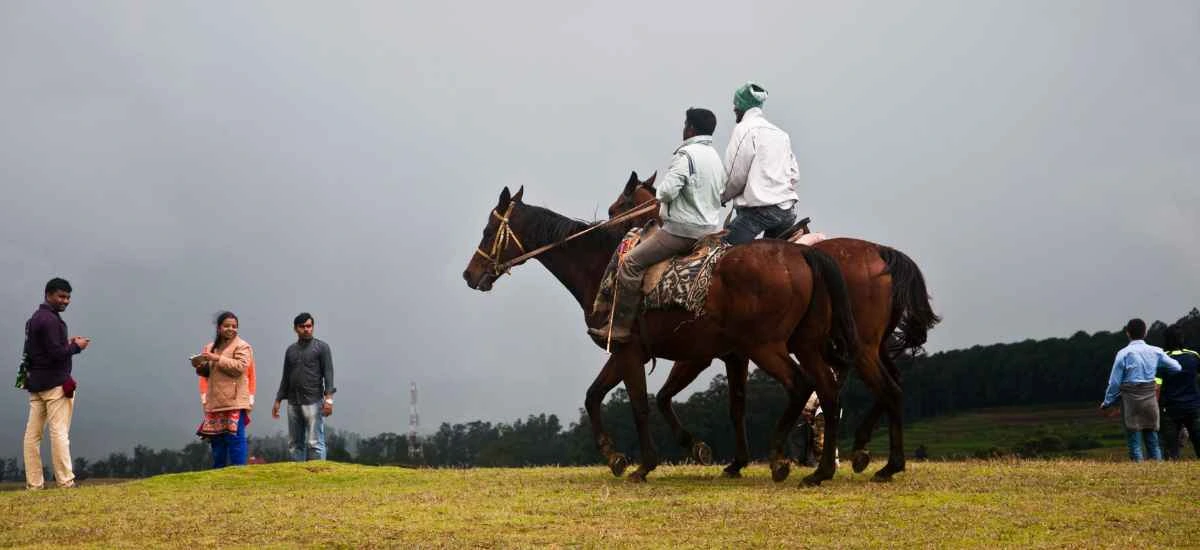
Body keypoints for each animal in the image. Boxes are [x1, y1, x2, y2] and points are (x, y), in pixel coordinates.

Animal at [463, 183, 859, 485]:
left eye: (487, 230)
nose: (470, 274)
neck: (599, 264)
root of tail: (803, 255)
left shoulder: (638, 352)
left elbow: (641, 404)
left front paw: (645, 464)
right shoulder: (631, 352)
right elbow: (596, 396)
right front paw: (616, 456)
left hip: (767, 346)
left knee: (802, 386)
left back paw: (781, 459)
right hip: (805, 345)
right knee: (827, 392)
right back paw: (821, 470)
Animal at [607, 172, 940, 481]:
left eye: (617, 208)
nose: (611, 229)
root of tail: (880, 252)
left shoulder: (706, 353)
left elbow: (675, 397)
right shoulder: (732, 353)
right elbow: (735, 404)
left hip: (852, 347)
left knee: (869, 388)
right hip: (869, 346)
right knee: (889, 385)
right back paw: (864, 454)